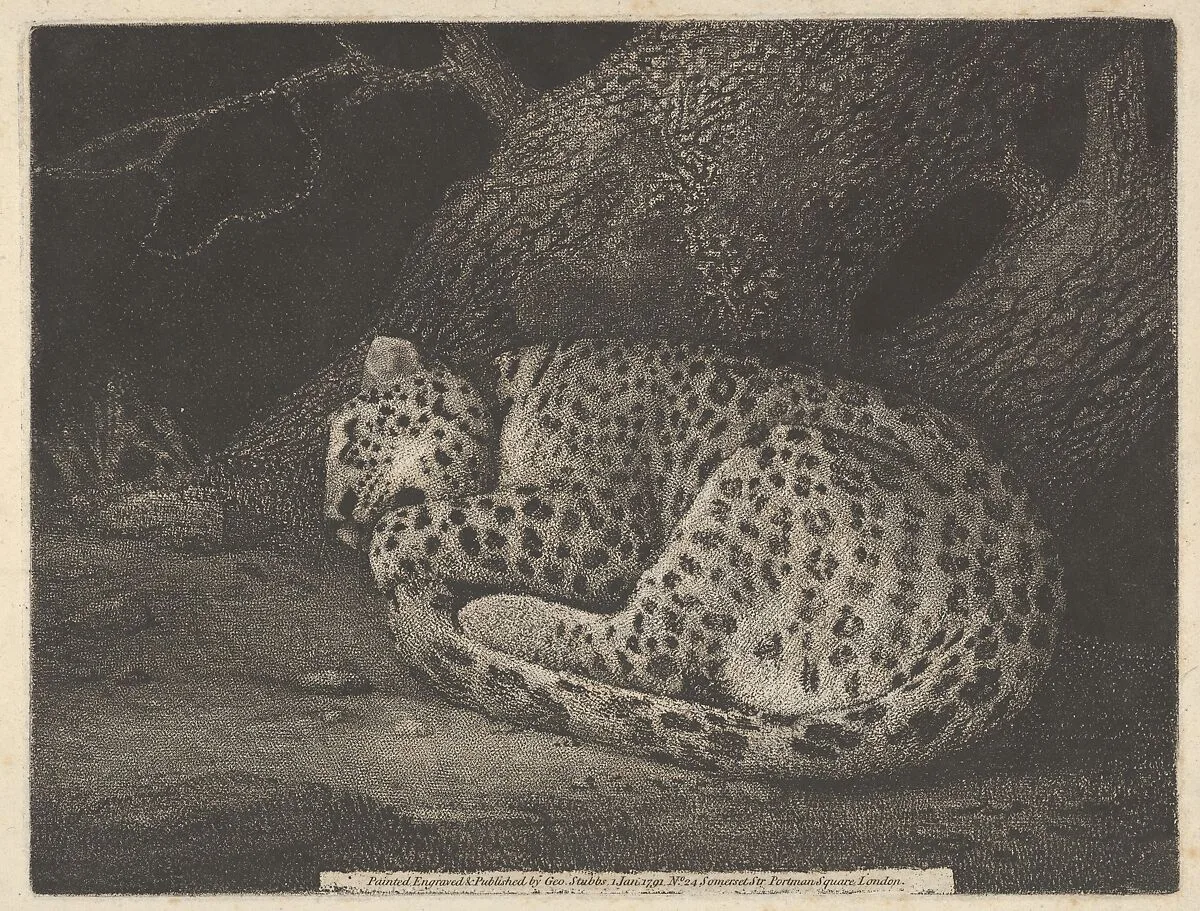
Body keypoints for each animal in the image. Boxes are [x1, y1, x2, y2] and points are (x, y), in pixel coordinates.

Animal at [325, 334, 1063, 779]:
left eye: (350, 437)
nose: (336, 518)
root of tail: (1021, 624)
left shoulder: (595, 522)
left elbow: (449, 518)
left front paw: (391, 548)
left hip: (765, 477)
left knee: (649, 648)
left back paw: (488, 613)